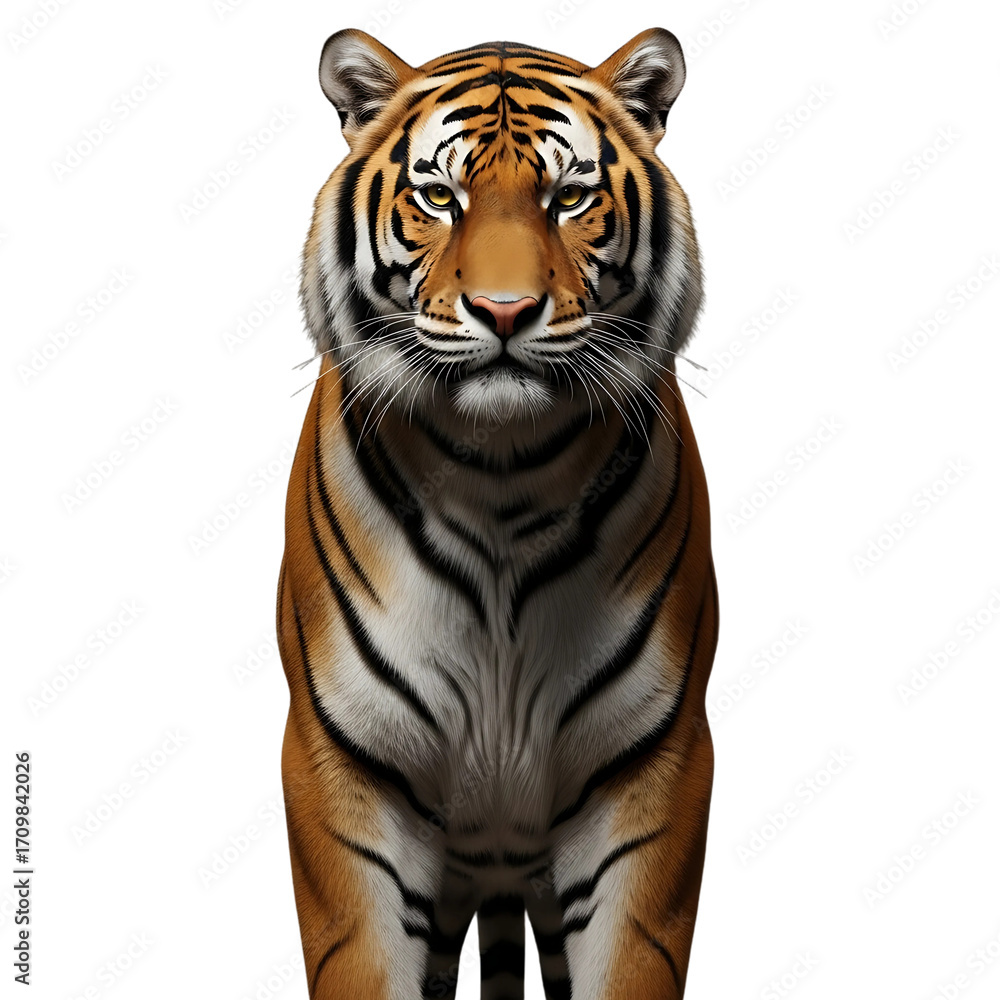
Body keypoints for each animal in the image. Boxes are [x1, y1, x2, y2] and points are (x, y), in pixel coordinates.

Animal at [276, 26, 718, 1000]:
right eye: (440, 197)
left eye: (570, 197)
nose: (506, 311)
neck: (500, 477)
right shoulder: (342, 766)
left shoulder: (653, 767)